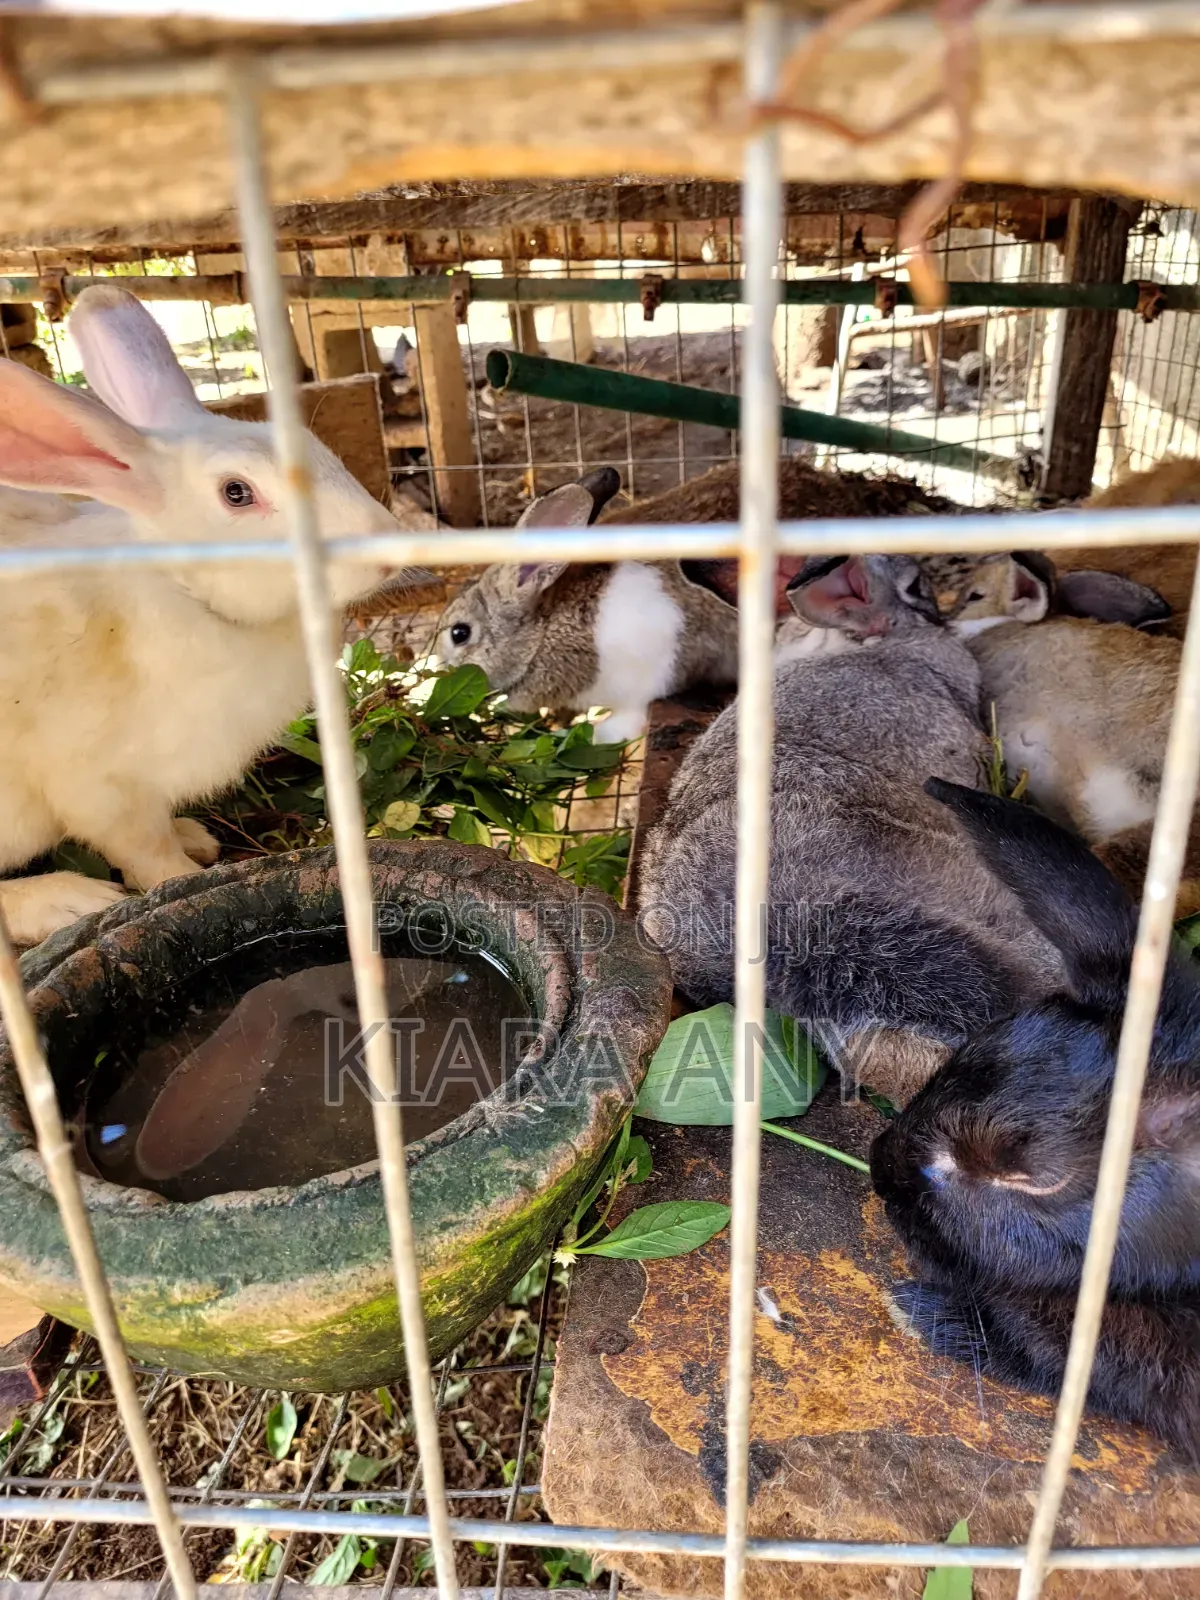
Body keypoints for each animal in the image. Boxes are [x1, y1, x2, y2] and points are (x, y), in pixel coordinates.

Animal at [0, 284, 431, 948]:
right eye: (236, 493)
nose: (385, 548)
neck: (180, 586)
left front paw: (195, 840)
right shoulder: (101, 788)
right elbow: (144, 850)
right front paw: (181, 875)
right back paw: (67, 901)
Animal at [436, 469, 739, 744]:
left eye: (460, 633)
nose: (441, 671)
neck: (545, 631)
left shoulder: (646, 681)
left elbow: (630, 716)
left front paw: (595, 734)